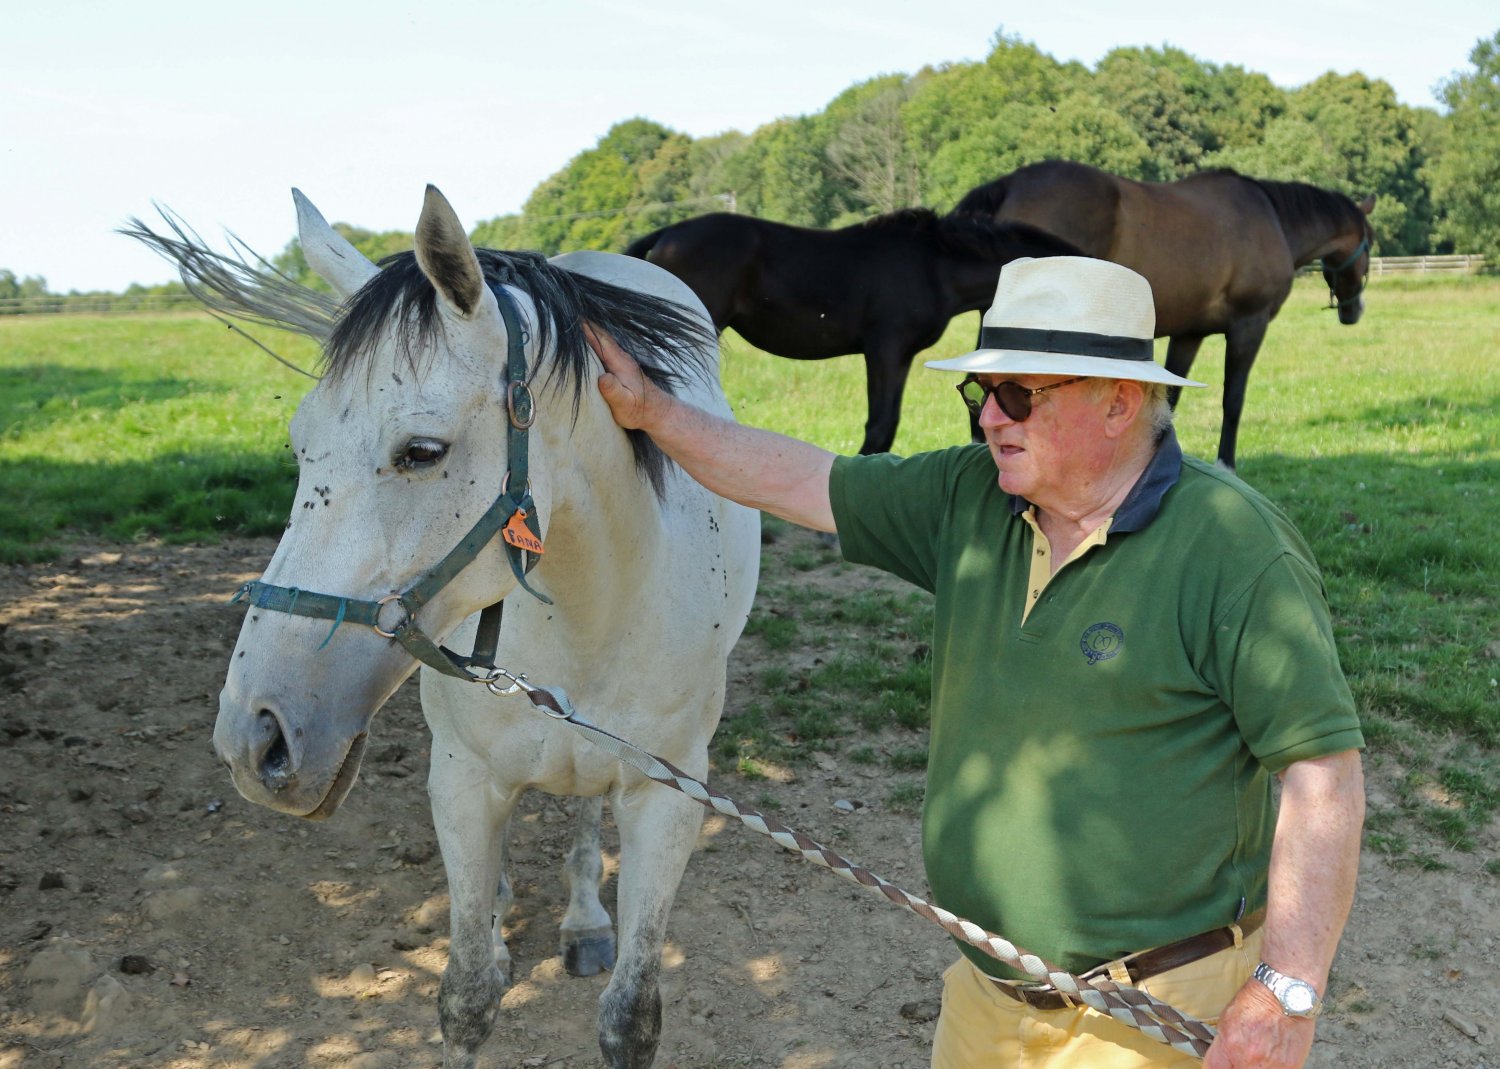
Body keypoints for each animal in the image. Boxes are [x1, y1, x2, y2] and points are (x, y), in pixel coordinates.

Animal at [134, 187, 760, 1069]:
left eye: (421, 450)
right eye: (300, 445)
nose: (253, 739)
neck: (587, 612)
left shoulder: (667, 795)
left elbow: (631, 1014)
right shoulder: (462, 779)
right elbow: (466, 995)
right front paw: (487, 942)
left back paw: (583, 918)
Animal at [624, 209, 1085, 455]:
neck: (934, 266)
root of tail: (665, 235)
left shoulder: (900, 357)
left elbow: (887, 424)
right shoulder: (885, 350)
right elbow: (879, 424)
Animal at [950, 160, 1375, 470]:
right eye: (1370, 242)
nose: (1354, 310)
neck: (1273, 219)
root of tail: (1010, 183)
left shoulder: (1189, 334)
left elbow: (1169, 400)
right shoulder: (1248, 326)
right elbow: (1233, 399)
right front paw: (1225, 464)